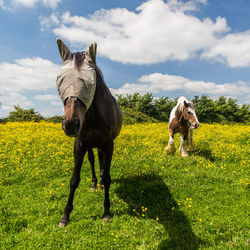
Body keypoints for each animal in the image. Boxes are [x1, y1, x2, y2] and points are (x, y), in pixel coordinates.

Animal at [55, 39, 122, 227]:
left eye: (89, 84)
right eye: (61, 81)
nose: (70, 124)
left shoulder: (108, 144)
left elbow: (107, 177)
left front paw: (106, 212)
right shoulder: (80, 144)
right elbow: (74, 180)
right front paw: (65, 216)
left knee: (101, 162)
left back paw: (99, 183)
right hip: (90, 145)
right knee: (93, 160)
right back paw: (94, 183)